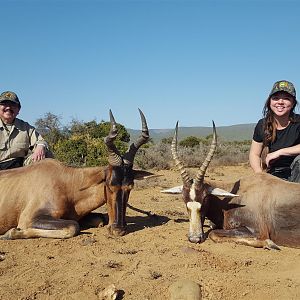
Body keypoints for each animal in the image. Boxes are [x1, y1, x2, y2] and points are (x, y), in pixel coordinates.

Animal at [0, 109, 152, 239]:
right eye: (109, 185)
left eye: (130, 187)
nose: (118, 230)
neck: (65, 182)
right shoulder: (28, 218)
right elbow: (73, 227)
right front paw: (10, 233)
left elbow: (99, 219)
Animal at [163, 121, 300, 248]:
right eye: (184, 199)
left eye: (205, 198)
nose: (194, 238)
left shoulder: (258, 231)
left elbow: (213, 234)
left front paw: (269, 244)